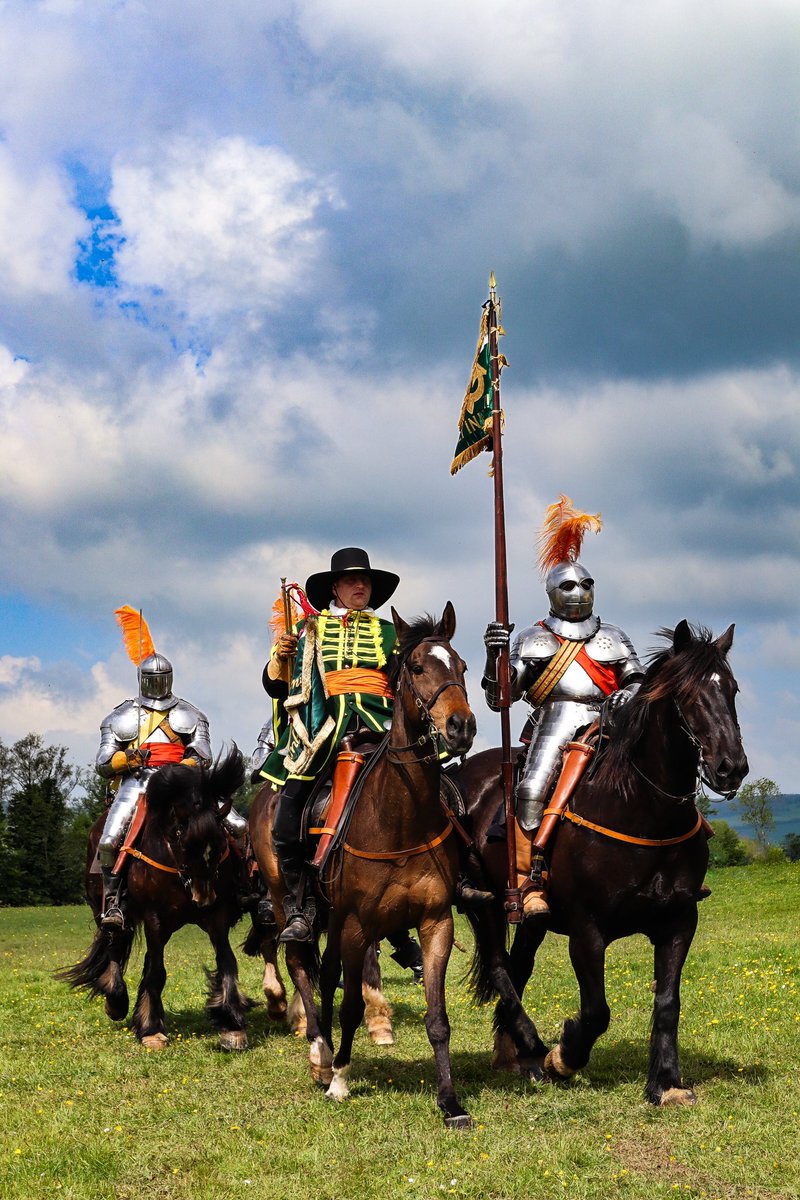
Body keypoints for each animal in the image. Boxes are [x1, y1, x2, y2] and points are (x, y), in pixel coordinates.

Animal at [58, 748, 251, 1051]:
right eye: (184, 841)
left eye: (221, 844)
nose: (203, 897)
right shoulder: (154, 918)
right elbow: (157, 972)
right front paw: (151, 1029)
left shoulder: (216, 916)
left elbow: (226, 961)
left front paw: (232, 1024)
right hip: (109, 909)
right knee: (115, 946)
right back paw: (116, 1001)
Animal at [460, 624, 748, 1108]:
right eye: (687, 695)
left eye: (732, 689)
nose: (731, 768)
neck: (641, 808)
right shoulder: (586, 930)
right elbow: (596, 1011)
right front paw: (563, 1057)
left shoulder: (679, 921)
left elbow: (668, 1003)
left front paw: (666, 1082)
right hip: (485, 906)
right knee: (500, 967)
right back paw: (533, 1048)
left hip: (534, 921)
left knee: (518, 968)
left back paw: (517, 1054)